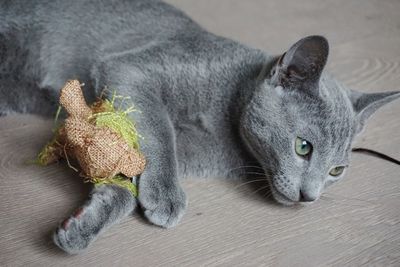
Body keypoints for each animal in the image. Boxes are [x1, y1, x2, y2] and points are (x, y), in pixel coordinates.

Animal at [0, 0, 400, 254]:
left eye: (336, 171)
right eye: (303, 147)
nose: (310, 198)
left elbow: (127, 168)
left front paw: (85, 222)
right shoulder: (132, 70)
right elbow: (159, 131)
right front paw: (165, 194)